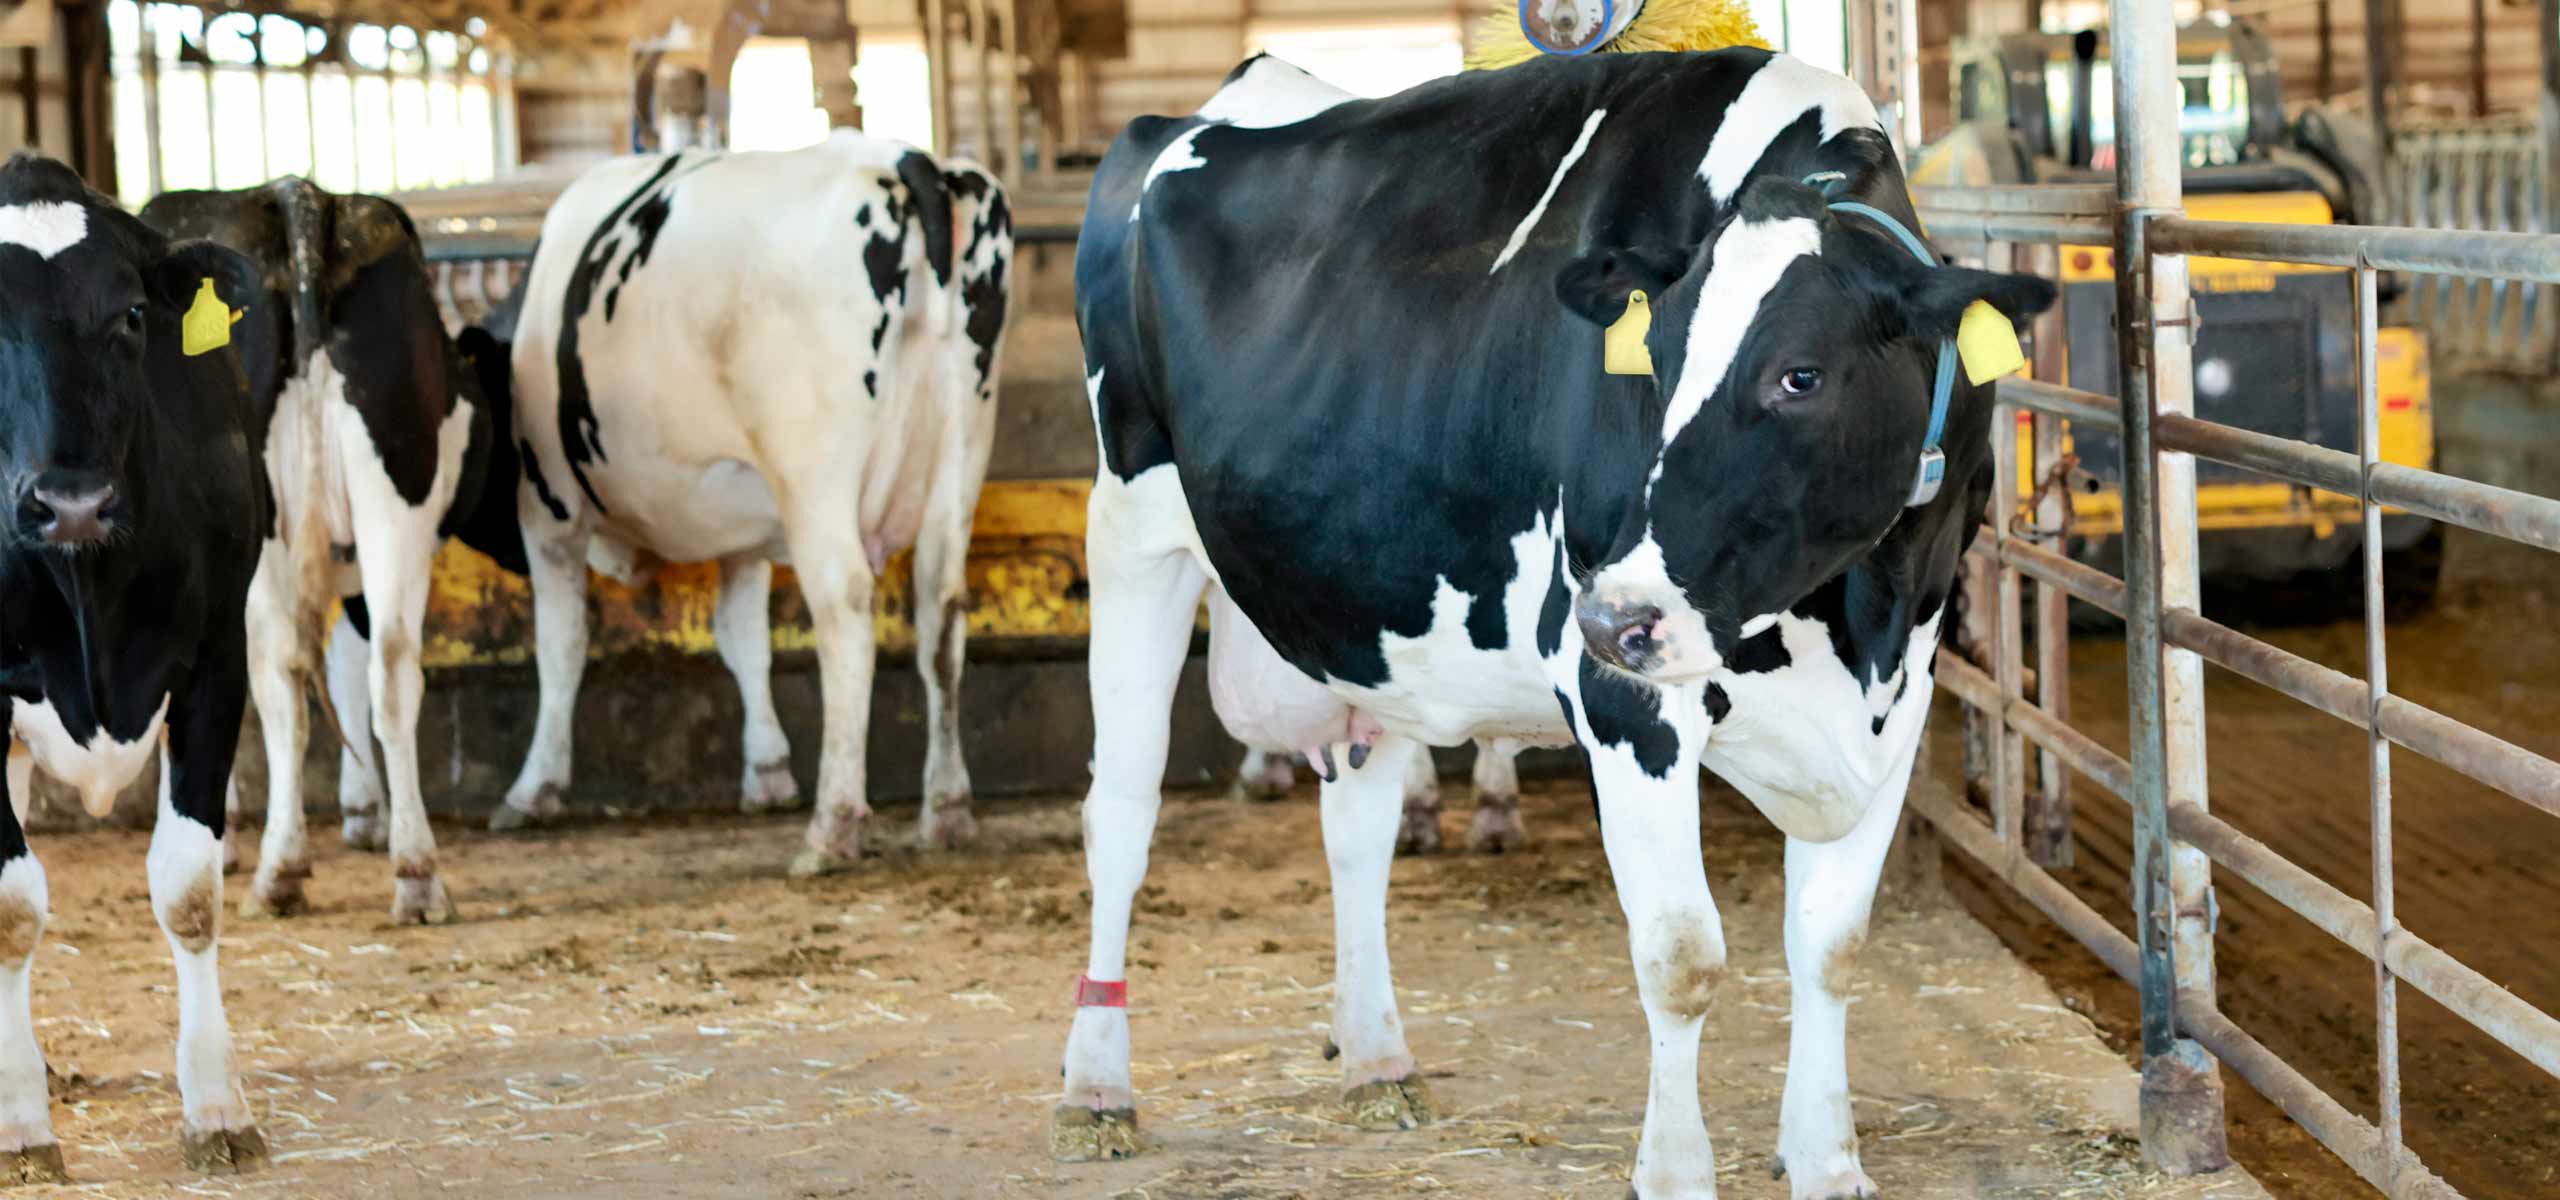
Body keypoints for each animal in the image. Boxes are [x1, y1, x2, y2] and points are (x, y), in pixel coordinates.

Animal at [0, 152, 271, 1178]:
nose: (69, 499)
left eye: (130, 317)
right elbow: (11, 907)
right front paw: (22, 1125)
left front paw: (215, 1108)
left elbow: (189, 891)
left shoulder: (216, 662)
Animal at [136, 180, 515, 926]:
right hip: (393, 500)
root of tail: (299, 199)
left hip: (273, 531)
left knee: (283, 683)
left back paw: (281, 870)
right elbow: (348, 668)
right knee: (392, 670)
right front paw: (366, 812)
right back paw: (417, 873)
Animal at [479, 132, 1012, 875]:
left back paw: (832, 826)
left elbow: (561, 646)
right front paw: (767, 771)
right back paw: (948, 808)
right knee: (943, 610)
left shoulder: (548, 507)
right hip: (962, 453)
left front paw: (534, 790)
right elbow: (743, 637)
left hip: (815, 478)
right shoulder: (743, 533)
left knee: (846, 607)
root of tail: (906, 160)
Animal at [1049, 52, 2054, 1200]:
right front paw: (1675, 1172)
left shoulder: (1901, 694)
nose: (1612, 614)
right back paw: (1095, 1087)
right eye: (1648, 363)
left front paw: (1826, 1159)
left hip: (1362, 614)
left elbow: (1831, 944)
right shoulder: (1627, 706)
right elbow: (1681, 958)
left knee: (1355, 830)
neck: (1859, 610)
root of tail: (1221, 98)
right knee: (1120, 816)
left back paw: (1377, 1060)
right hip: (1131, 531)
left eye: (1799, 374)